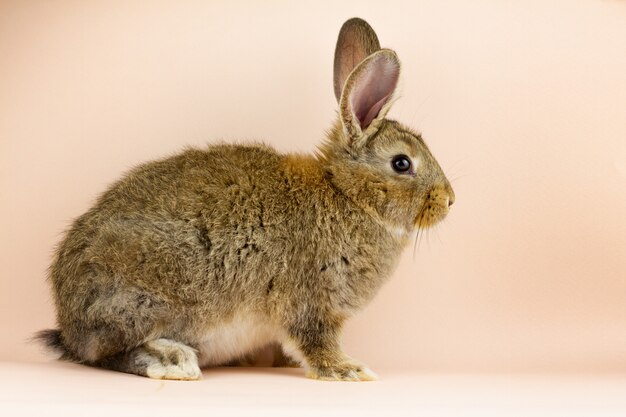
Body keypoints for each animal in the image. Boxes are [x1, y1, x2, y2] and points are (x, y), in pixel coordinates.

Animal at [35, 17, 454, 380]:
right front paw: (349, 370)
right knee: (104, 354)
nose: (450, 200)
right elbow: (316, 342)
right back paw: (172, 360)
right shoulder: (310, 303)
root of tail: (69, 322)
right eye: (402, 163)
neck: (345, 193)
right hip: (148, 301)